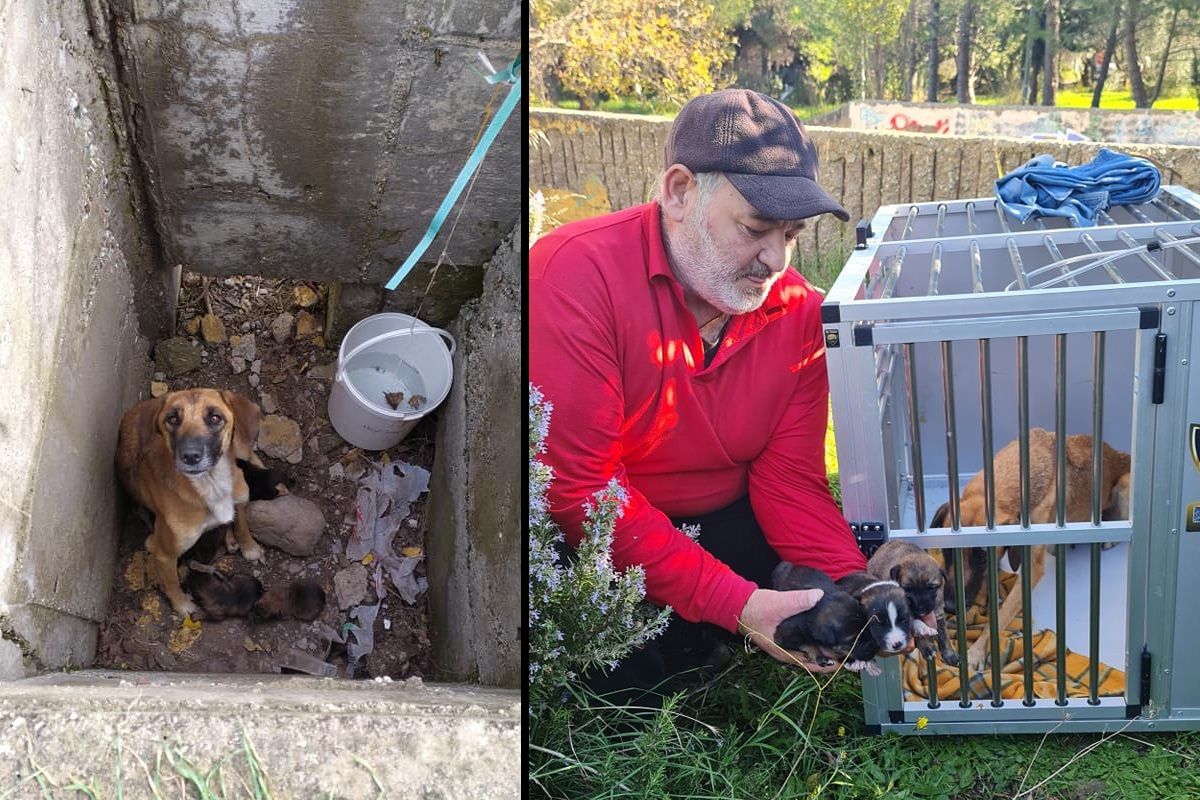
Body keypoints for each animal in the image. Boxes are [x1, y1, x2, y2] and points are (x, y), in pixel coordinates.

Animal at [117, 391, 267, 618]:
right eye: (172, 419)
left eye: (215, 417)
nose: (190, 456)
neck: (212, 484)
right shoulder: (161, 551)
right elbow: (172, 582)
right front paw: (182, 606)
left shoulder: (239, 499)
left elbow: (242, 525)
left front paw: (249, 547)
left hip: (241, 455)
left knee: (249, 453)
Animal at [926, 429, 1132, 671]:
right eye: (947, 551)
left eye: (982, 558)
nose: (950, 607)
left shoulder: (1031, 569)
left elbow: (1001, 615)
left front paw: (976, 651)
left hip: (1124, 485)